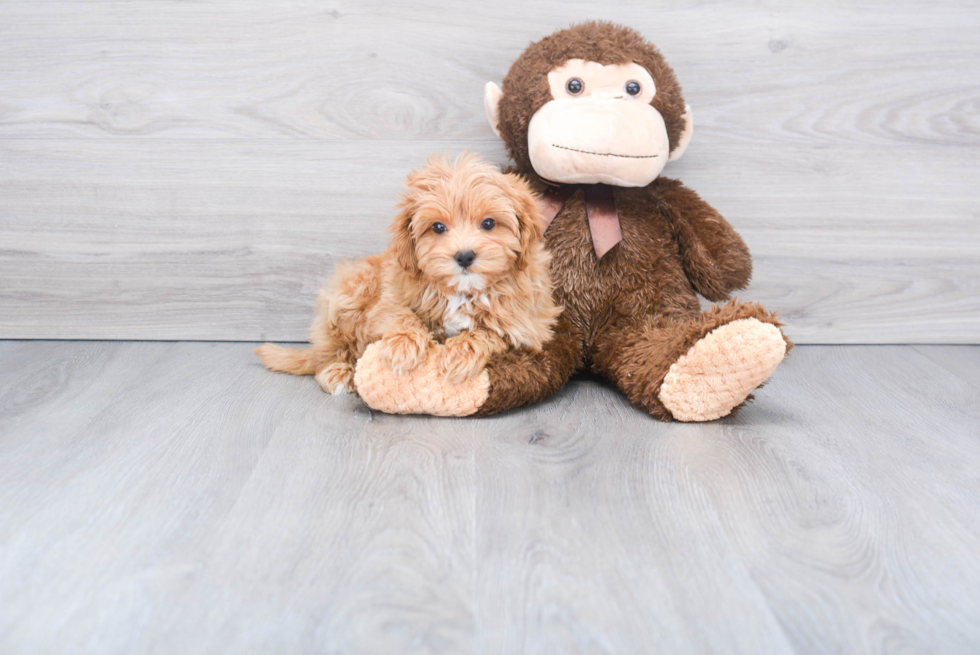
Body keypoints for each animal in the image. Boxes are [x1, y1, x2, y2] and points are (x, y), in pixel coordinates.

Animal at [255, 155, 560, 394]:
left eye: (488, 224)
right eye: (438, 227)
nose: (464, 256)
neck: (461, 292)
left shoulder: (527, 323)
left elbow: (489, 333)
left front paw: (458, 354)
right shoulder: (388, 294)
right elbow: (400, 313)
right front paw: (404, 346)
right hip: (352, 289)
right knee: (329, 354)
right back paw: (338, 372)